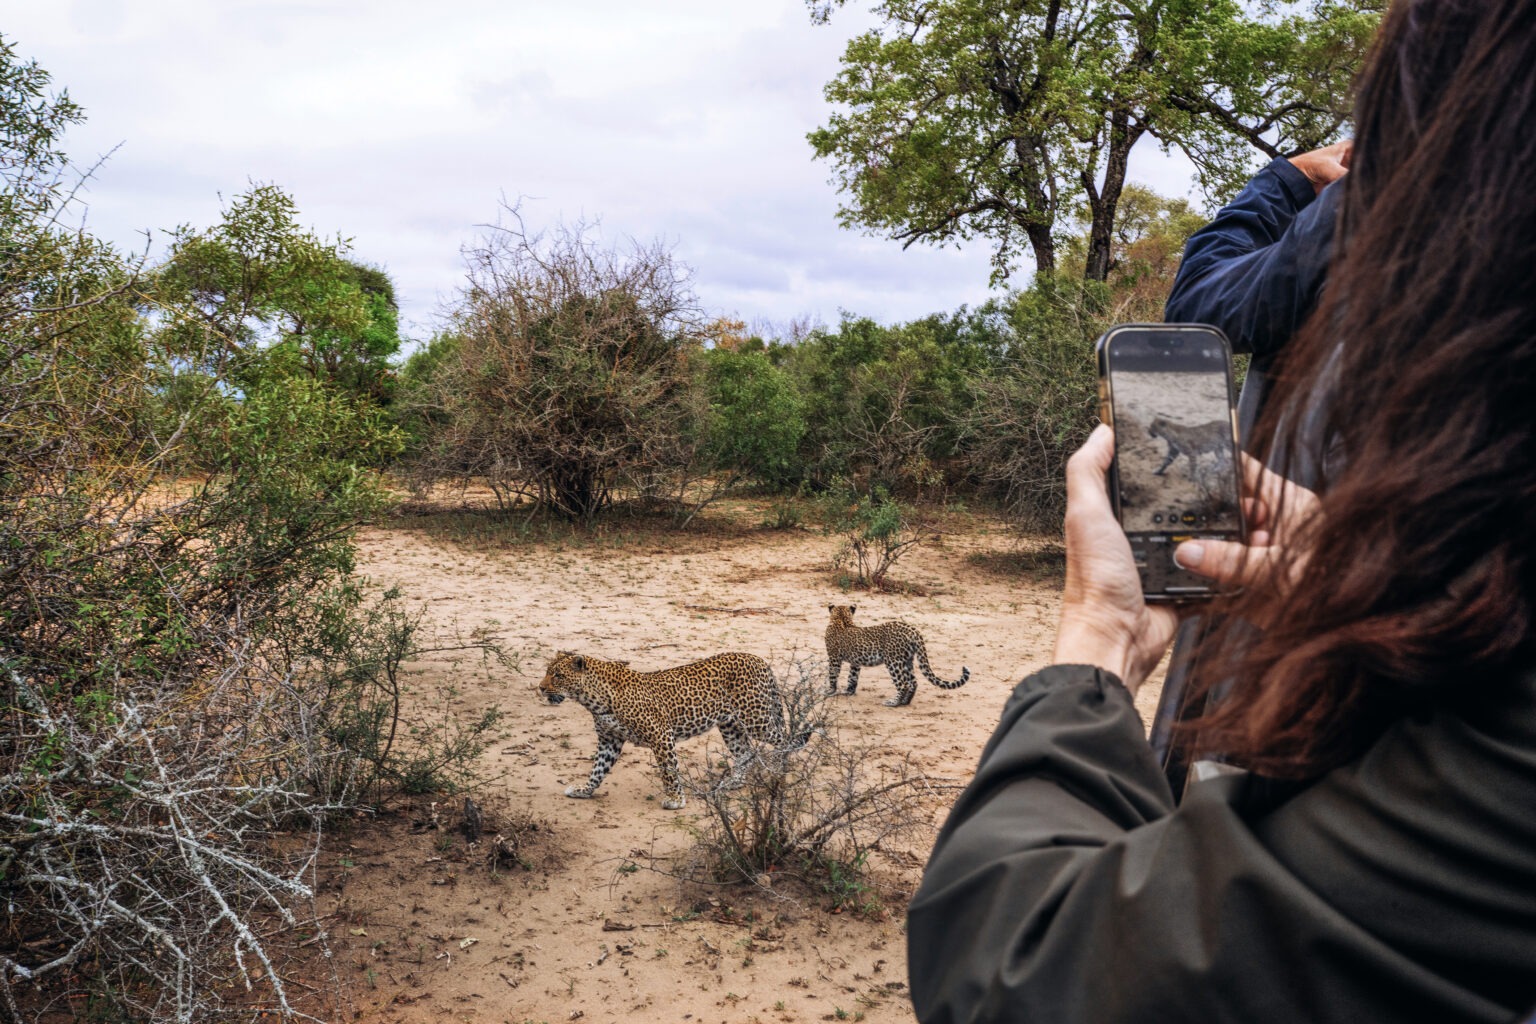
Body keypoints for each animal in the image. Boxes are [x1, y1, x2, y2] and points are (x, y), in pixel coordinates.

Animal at [537, 650, 810, 810]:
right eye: (547, 672)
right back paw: (732, 783)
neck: (593, 698)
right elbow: (597, 770)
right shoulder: (609, 740)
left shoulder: (660, 735)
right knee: (746, 752)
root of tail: (760, 660)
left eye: (558, 675)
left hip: (756, 719)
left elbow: (669, 770)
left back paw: (780, 770)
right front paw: (584, 790)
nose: (540, 688)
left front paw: (676, 800)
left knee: (784, 739)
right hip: (730, 725)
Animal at [824, 605, 969, 707]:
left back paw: (893, 703)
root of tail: (914, 631)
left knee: (903, 684)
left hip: (893, 661)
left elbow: (833, 674)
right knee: (913, 683)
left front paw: (830, 691)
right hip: (907, 660)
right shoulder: (856, 662)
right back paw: (905, 702)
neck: (842, 619)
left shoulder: (834, 658)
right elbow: (852, 677)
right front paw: (849, 691)